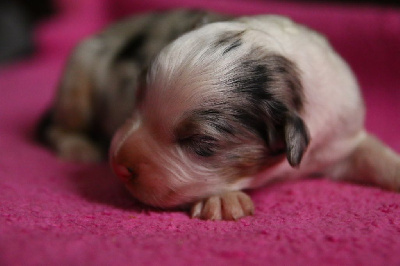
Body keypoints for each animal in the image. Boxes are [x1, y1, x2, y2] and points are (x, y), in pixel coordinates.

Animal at [39, 9, 398, 220]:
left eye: (201, 144)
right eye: (136, 98)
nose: (117, 165)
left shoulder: (342, 135)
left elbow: (372, 153)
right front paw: (223, 200)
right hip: (78, 77)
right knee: (60, 125)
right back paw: (77, 145)